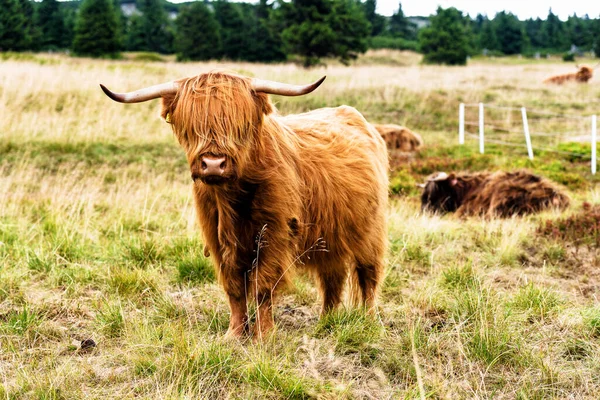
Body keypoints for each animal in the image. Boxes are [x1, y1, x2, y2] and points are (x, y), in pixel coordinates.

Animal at [99, 71, 390, 338]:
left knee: (368, 276)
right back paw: (325, 322)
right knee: (332, 277)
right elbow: (234, 287)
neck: (232, 198)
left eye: (239, 125)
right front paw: (235, 334)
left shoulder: (275, 234)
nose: (213, 164)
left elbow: (263, 285)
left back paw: (370, 323)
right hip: (332, 235)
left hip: (371, 233)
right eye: (191, 125)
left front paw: (264, 336)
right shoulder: (217, 238)